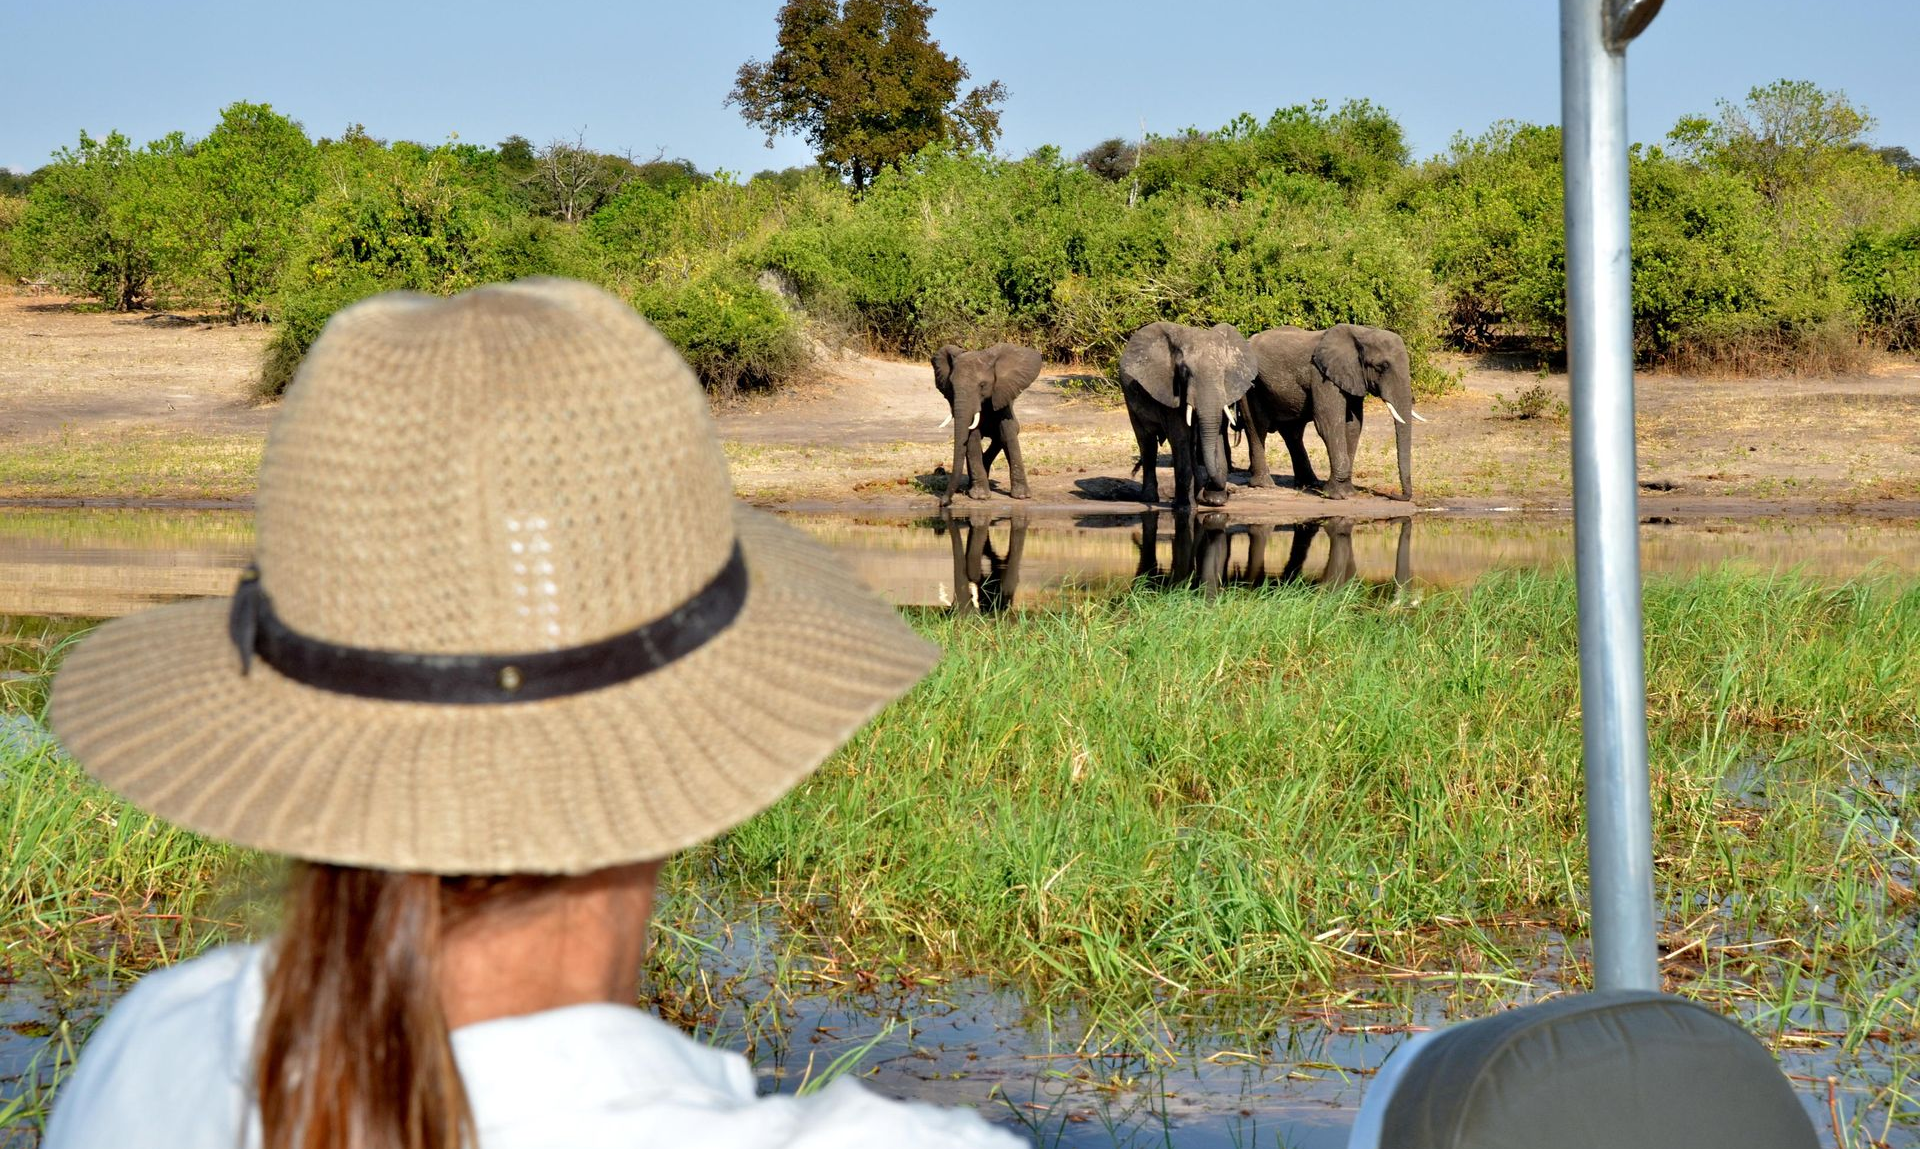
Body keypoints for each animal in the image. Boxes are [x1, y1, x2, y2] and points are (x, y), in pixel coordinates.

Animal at [932, 343, 1043, 505]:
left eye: (982, 385)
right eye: (951, 386)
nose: (943, 503)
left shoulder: (1002, 397)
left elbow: (1008, 435)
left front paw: (1022, 496)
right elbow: (972, 438)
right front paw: (980, 496)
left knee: (1002, 437)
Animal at [1120, 322, 1258, 509]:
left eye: (1224, 372)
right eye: (1185, 372)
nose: (1227, 494)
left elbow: (1215, 436)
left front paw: (1214, 500)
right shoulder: (1170, 390)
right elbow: (1180, 438)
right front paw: (1185, 508)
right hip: (1129, 397)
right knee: (1147, 442)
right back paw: (1150, 498)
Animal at [1238, 324, 1423, 501]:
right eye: (1382, 366)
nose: (1394, 495)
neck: (1361, 332)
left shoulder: (1351, 376)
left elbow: (1353, 425)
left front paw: (1348, 492)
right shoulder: (1321, 375)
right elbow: (1328, 423)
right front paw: (1337, 495)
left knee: (1293, 432)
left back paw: (1309, 483)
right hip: (1249, 384)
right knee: (1257, 426)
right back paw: (1264, 485)